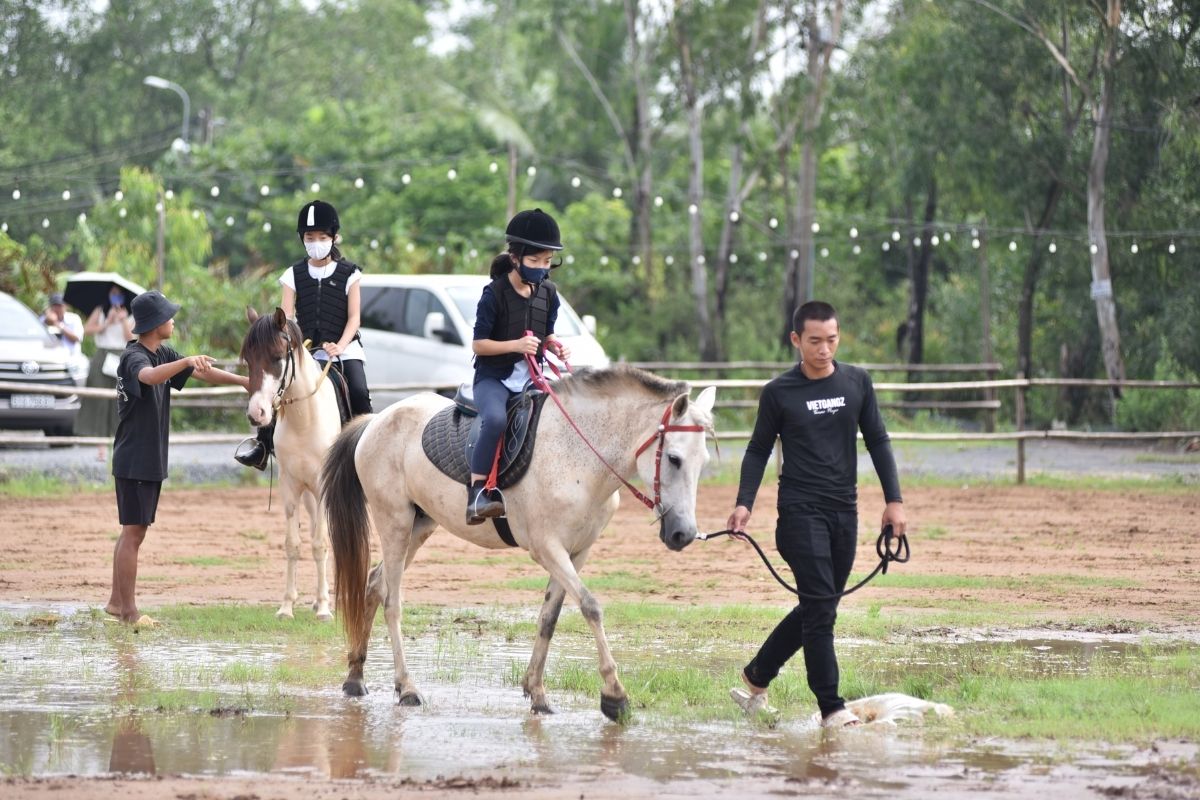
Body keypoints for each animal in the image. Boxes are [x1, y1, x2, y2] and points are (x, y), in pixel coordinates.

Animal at [240, 307, 343, 618]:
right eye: (248, 359)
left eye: (276, 357)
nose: (257, 414)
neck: (305, 419)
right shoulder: (289, 487)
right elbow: (293, 544)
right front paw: (287, 605)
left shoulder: (323, 487)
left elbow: (321, 544)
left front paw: (324, 610)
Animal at [319, 367, 710, 724]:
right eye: (673, 458)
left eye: (703, 461)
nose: (683, 534)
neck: (577, 456)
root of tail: (377, 420)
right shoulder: (547, 548)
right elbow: (591, 607)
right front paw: (615, 696)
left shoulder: (576, 553)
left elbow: (549, 618)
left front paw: (537, 693)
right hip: (395, 523)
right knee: (392, 601)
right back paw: (407, 688)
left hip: (419, 526)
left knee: (375, 584)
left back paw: (356, 678)